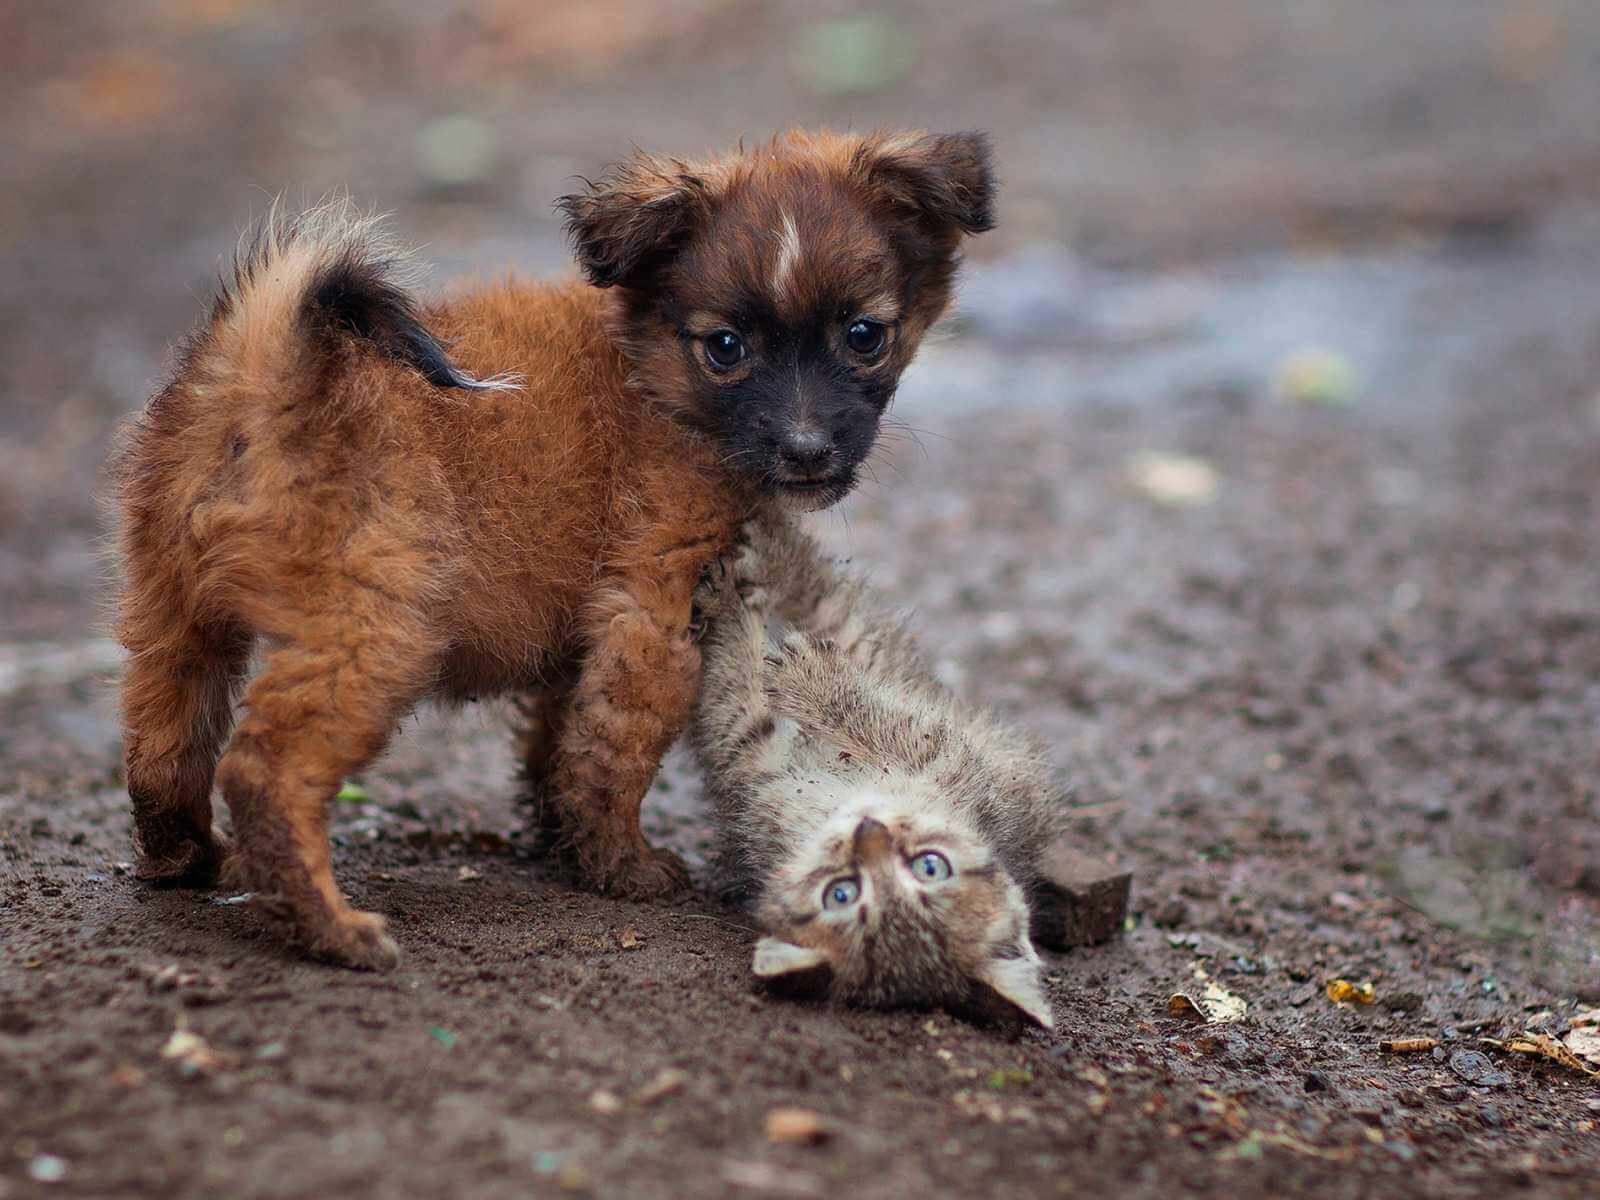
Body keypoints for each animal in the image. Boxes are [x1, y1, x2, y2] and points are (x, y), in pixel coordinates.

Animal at [112, 131, 992, 972]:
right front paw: (623, 867)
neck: (652, 374)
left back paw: (185, 858)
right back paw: (329, 927)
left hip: (171, 612)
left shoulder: (585, 636)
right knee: (265, 772)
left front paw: (565, 844)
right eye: (726, 347)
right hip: (372, 632)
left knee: (161, 747)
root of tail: (265, 374)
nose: (806, 450)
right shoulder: (653, 609)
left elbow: (564, 742)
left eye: (864, 336)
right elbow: (617, 751)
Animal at [694, 518, 1068, 1036]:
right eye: (933, 866)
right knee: (822, 595)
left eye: (841, 894)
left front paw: (740, 614)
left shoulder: (757, 759)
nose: (871, 833)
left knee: (833, 602)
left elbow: (745, 690)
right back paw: (770, 541)